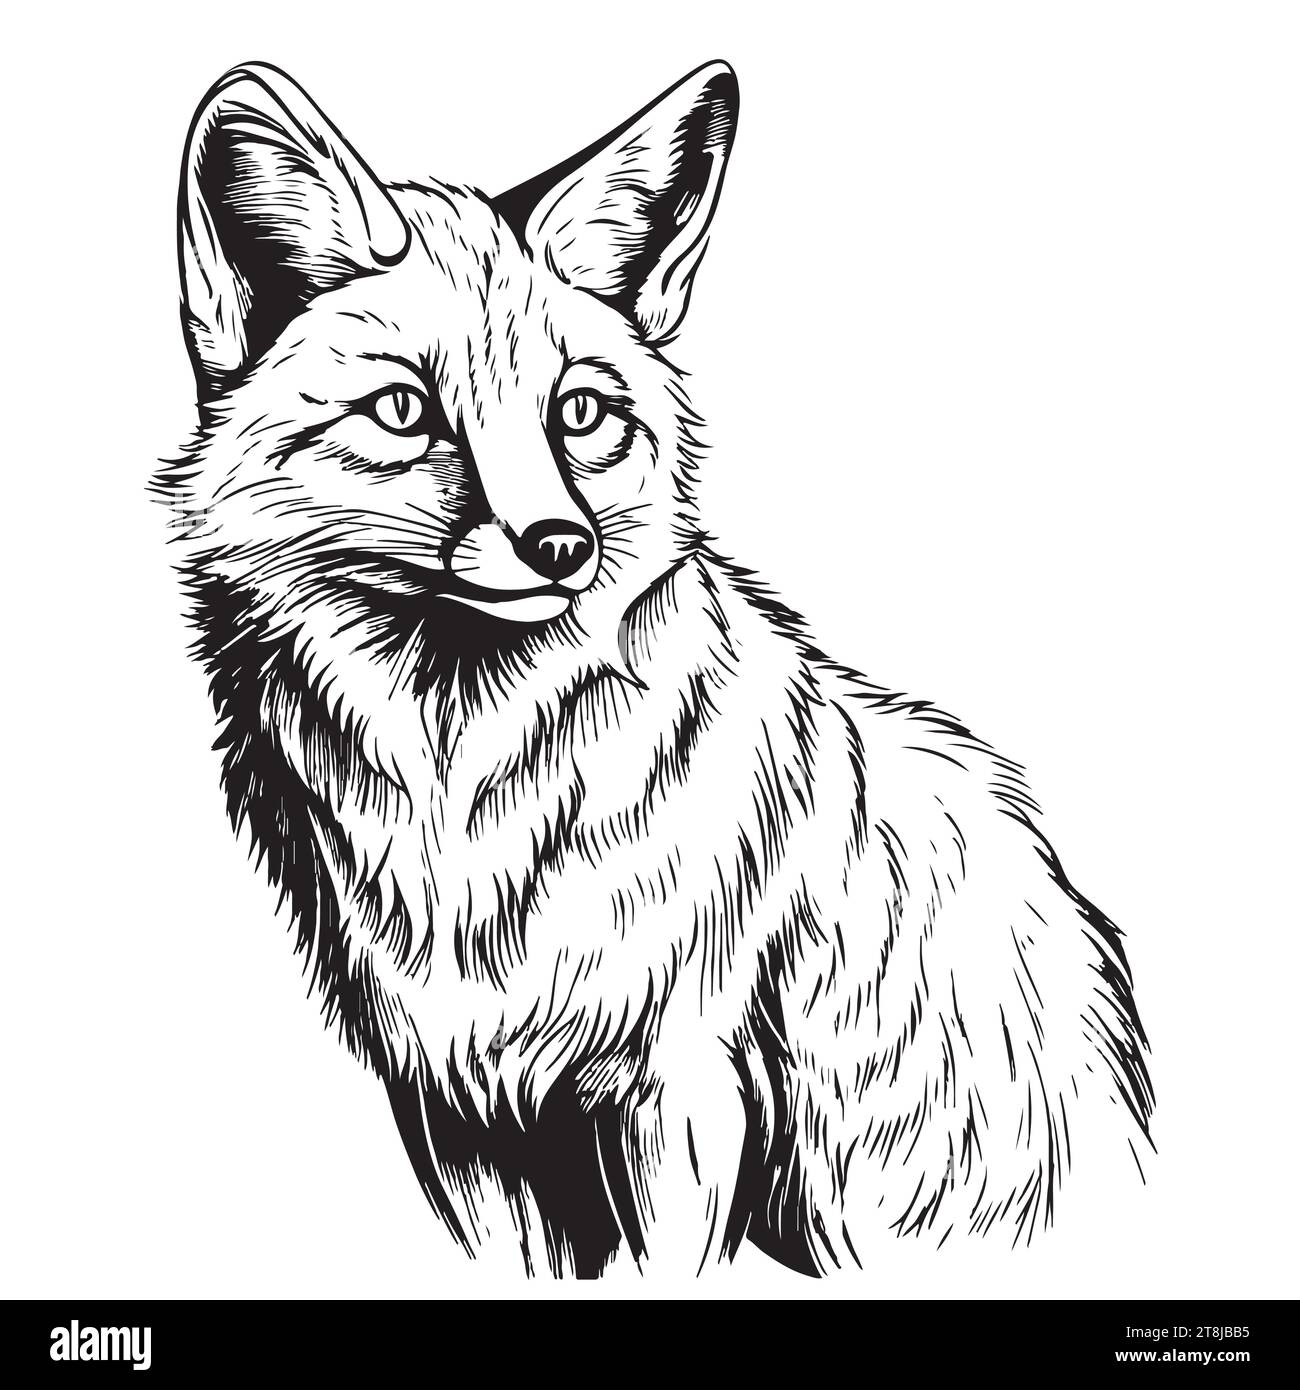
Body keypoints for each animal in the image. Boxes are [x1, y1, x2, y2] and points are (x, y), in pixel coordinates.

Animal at [158, 59, 1154, 1277]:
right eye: (404, 410)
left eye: (581, 413)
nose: (559, 544)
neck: (469, 803)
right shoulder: (459, 1114)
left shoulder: (679, 1087)